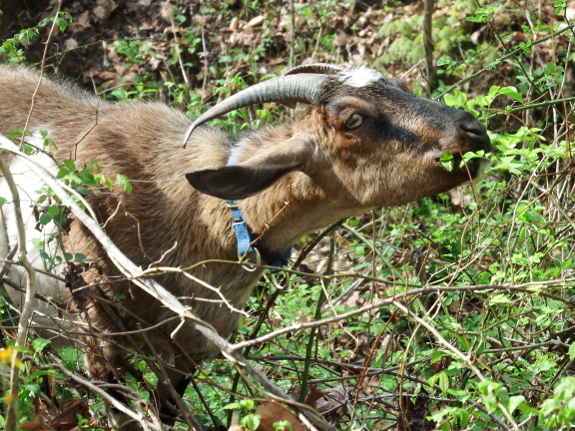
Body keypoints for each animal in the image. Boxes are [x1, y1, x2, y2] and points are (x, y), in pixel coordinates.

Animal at [0, 63, 492, 428]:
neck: (196, 216)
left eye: (402, 87)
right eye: (353, 119)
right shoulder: (100, 341)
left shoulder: (191, 348)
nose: (473, 131)